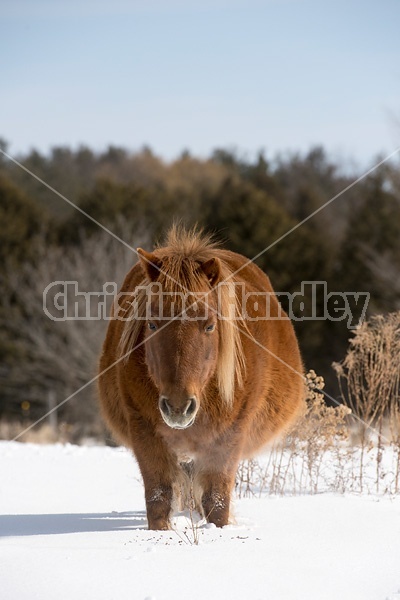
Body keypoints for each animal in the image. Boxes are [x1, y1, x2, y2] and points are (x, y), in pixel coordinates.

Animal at [97, 226, 304, 528]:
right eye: (152, 324)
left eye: (209, 326)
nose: (178, 407)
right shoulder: (145, 433)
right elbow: (159, 498)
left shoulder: (227, 440)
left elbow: (216, 502)